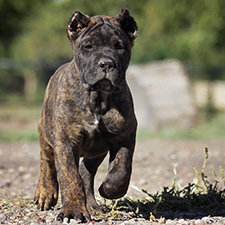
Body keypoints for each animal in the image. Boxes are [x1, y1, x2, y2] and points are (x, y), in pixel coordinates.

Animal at [34, 8, 138, 221]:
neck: (97, 97)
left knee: (86, 172)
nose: (106, 64)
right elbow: (69, 177)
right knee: (47, 163)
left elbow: (122, 168)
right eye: (88, 46)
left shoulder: (124, 134)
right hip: (46, 134)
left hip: (96, 150)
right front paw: (73, 211)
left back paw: (91, 204)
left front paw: (108, 189)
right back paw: (45, 194)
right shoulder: (65, 142)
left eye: (120, 46)